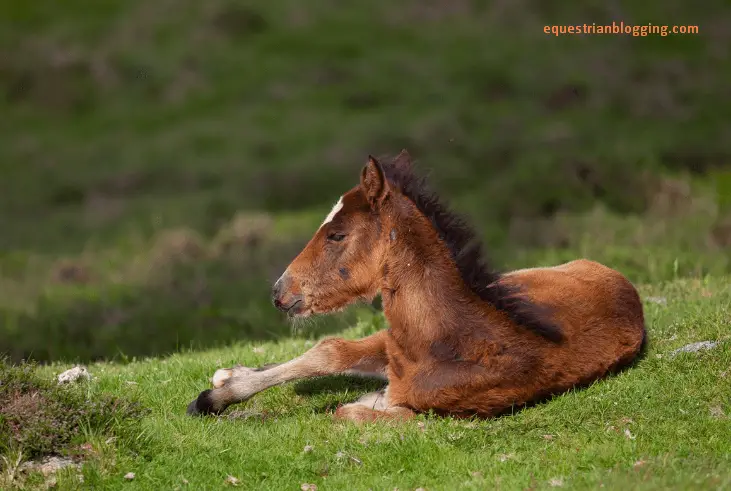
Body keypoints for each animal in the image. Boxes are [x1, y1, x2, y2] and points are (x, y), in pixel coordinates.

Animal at [187, 150, 648, 422]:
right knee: (334, 349)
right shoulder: (393, 353)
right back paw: (230, 375)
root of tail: (620, 279)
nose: (279, 291)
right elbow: (331, 354)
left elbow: (349, 410)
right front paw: (220, 394)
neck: (461, 338)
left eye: (336, 234)